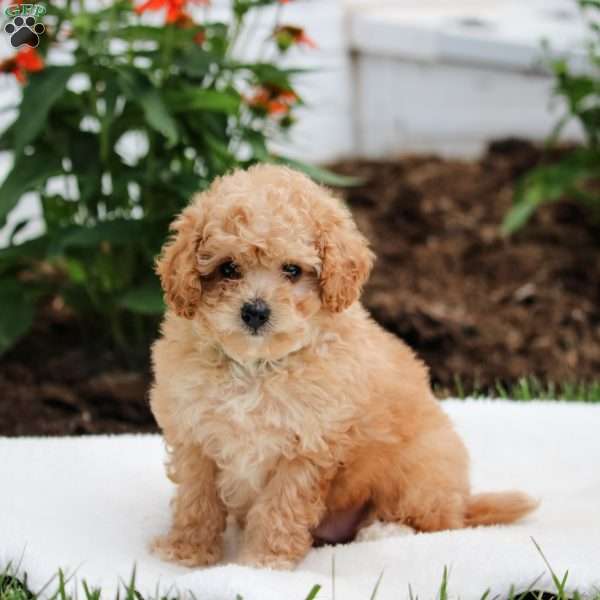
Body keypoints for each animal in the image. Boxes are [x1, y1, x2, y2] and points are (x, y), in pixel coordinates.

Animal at [150, 164, 540, 568]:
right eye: (228, 268)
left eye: (292, 270)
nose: (255, 311)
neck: (256, 365)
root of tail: (465, 500)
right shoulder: (194, 435)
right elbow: (196, 502)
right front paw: (187, 553)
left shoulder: (306, 448)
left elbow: (279, 508)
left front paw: (263, 562)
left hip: (421, 466)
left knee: (434, 519)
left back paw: (385, 531)